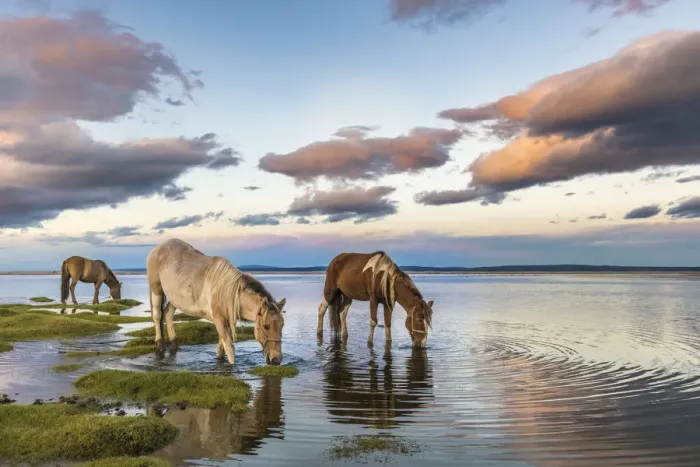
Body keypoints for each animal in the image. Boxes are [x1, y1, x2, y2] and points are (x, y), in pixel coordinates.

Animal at [146, 238, 287, 365]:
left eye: (282, 325)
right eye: (266, 326)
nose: (276, 359)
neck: (229, 291)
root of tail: (157, 249)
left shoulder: (226, 320)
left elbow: (221, 348)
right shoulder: (219, 320)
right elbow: (229, 349)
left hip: (174, 298)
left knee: (168, 314)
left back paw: (174, 345)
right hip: (156, 290)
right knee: (158, 315)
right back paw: (160, 345)